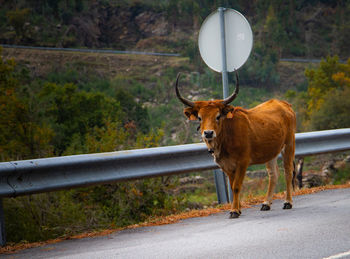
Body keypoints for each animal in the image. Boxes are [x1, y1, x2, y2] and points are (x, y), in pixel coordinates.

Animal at [175, 72, 296, 219]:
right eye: (199, 117)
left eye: (218, 116)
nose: (208, 133)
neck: (225, 140)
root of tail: (284, 104)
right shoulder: (226, 166)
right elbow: (232, 187)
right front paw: (238, 209)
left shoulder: (242, 162)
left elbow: (236, 186)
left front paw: (234, 211)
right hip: (271, 152)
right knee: (273, 174)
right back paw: (266, 203)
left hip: (289, 144)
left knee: (288, 172)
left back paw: (288, 202)